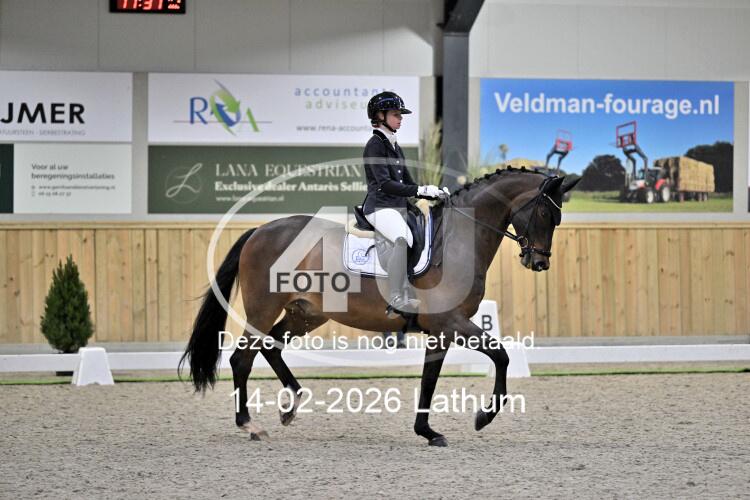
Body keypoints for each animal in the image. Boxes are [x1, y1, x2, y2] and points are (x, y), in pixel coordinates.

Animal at [179, 167, 579, 447]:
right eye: (545, 215)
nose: (538, 262)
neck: (457, 240)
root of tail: (260, 231)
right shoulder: (452, 322)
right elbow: (501, 356)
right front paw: (483, 417)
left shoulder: (441, 331)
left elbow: (429, 380)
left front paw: (428, 431)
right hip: (263, 310)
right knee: (241, 359)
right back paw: (251, 425)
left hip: (305, 313)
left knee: (271, 347)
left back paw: (290, 406)